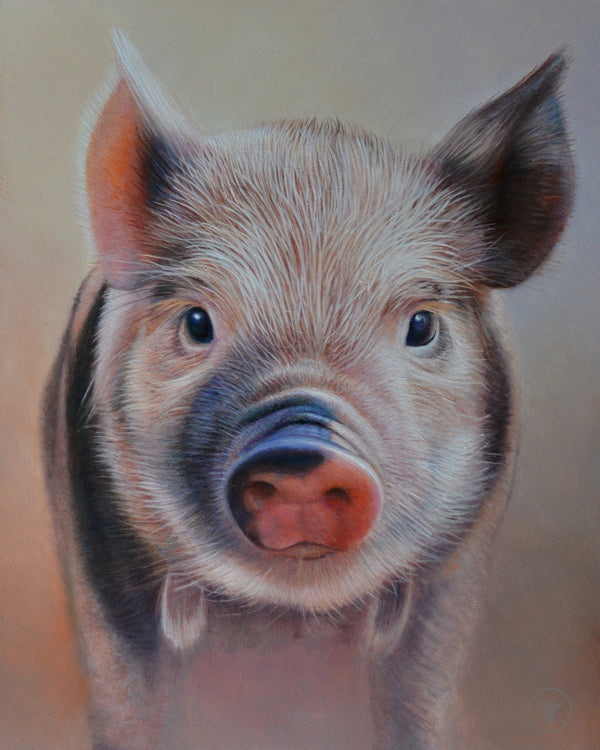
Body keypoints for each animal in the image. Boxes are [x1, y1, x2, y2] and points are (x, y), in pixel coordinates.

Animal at [43, 31, 574, 750]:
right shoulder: (99, 576)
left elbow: (415, 694)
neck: (285, 619)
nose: (303, 449)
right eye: (198, 322)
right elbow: (131, 697)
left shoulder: (455, 578)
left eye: (421, 326)